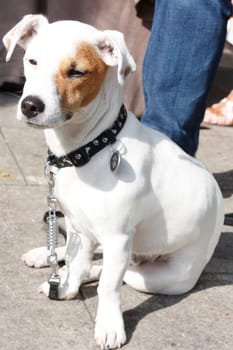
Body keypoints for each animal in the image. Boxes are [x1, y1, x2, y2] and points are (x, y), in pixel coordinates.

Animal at [2, 14, 224, 350]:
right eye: (32, 61)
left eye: (77, 72)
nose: (30, 105)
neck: (90, 148)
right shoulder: (79, 226)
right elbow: (76, 262)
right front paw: (65, 288)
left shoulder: (117, 236)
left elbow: (107, 285)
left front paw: (108, 325)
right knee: (88, 259)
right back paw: (46, 256)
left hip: (161, 277)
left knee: (119, 272)